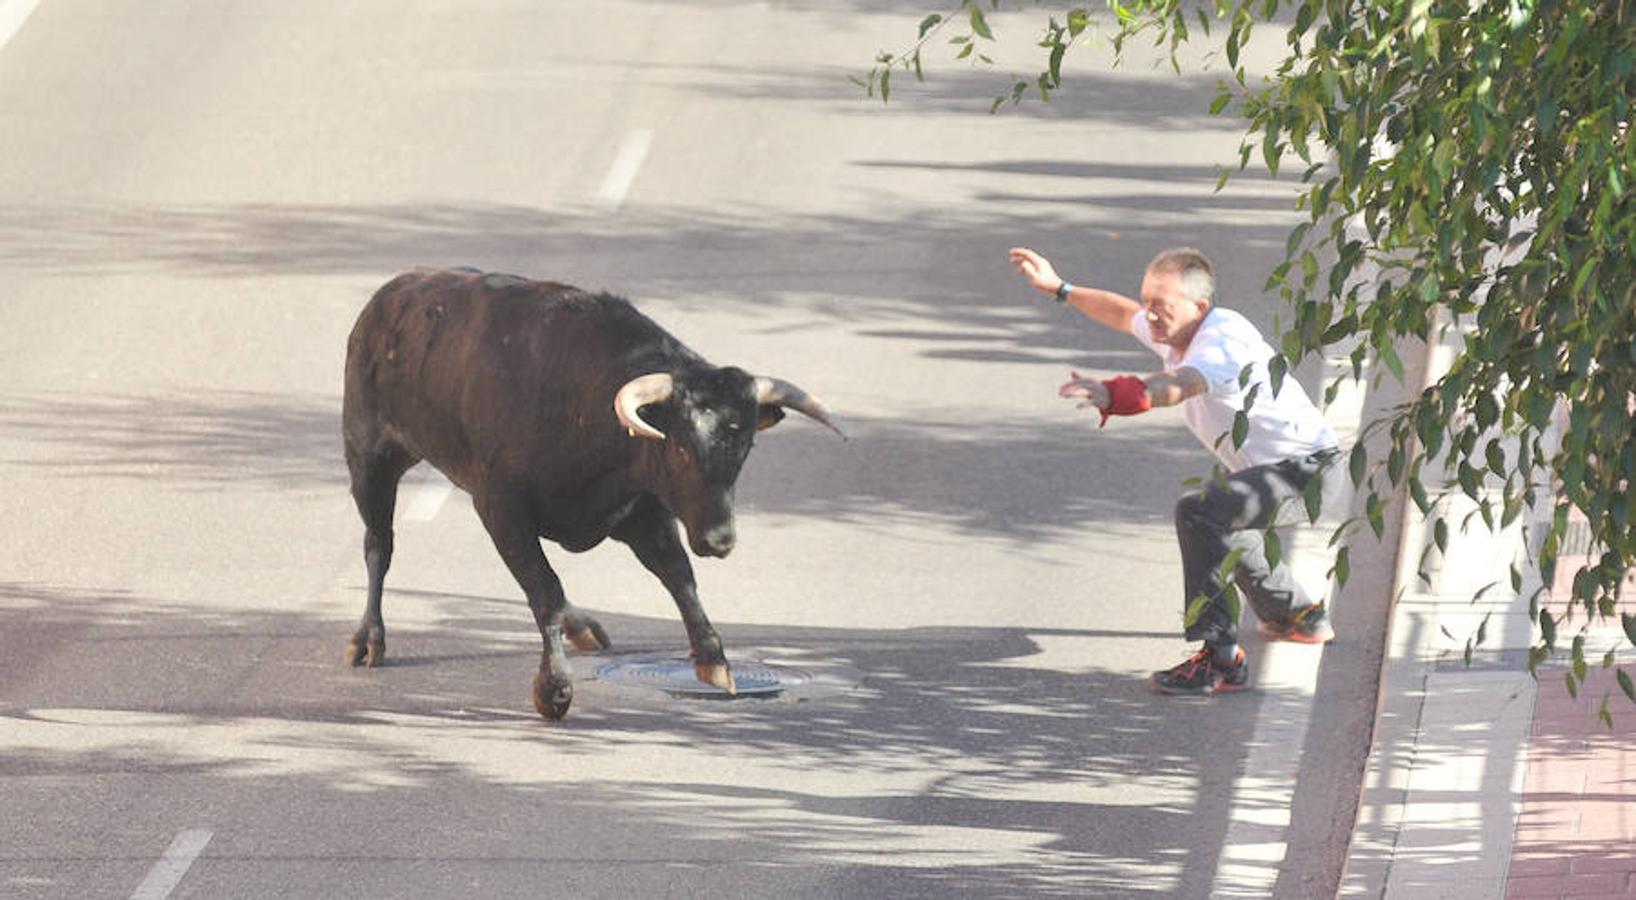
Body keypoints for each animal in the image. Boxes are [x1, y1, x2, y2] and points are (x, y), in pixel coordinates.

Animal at [340, 268, 850, 720]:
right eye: (682, 447)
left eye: (745, 447)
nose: (719, 539)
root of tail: (390, 295)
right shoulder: (502, 508)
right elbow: (545, 588)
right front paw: (554, 689)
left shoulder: (641, 510)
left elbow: (678, 575)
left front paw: (714, 661)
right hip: (369, 458)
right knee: (378, 544)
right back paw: (368, 639)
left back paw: (582, 627)